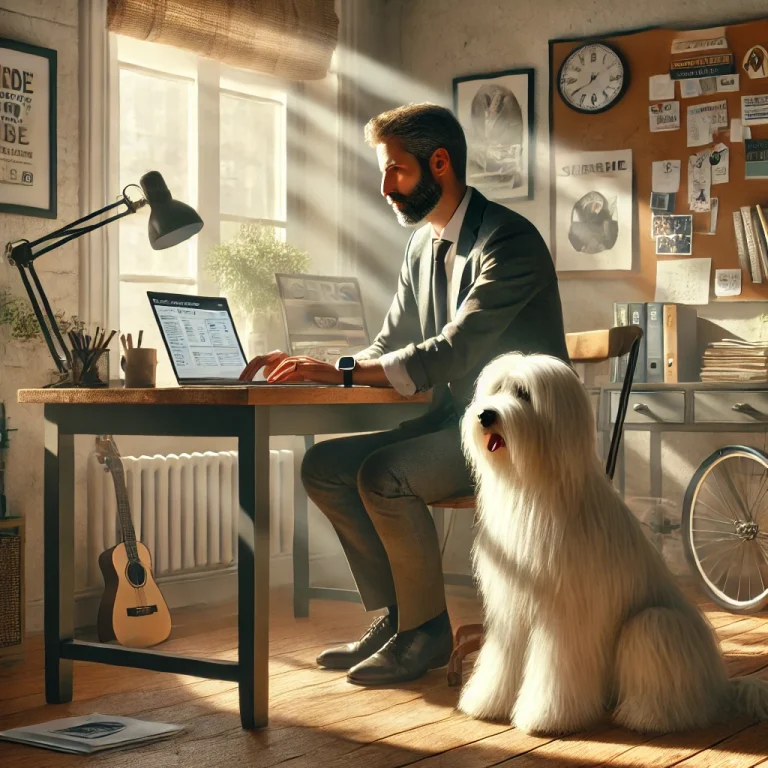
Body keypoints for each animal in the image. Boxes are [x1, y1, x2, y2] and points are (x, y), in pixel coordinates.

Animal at [456, 352, 768, 736]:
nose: (485, 415)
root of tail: (720, 687)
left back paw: (645, 716)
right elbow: (502, 659)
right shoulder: (511, 608)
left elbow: (556, 669)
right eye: (496, 389)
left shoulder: (565, 613)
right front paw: (487, 703)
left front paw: (547, 717)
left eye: (523, 394)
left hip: (654, 623)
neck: (533, 486)